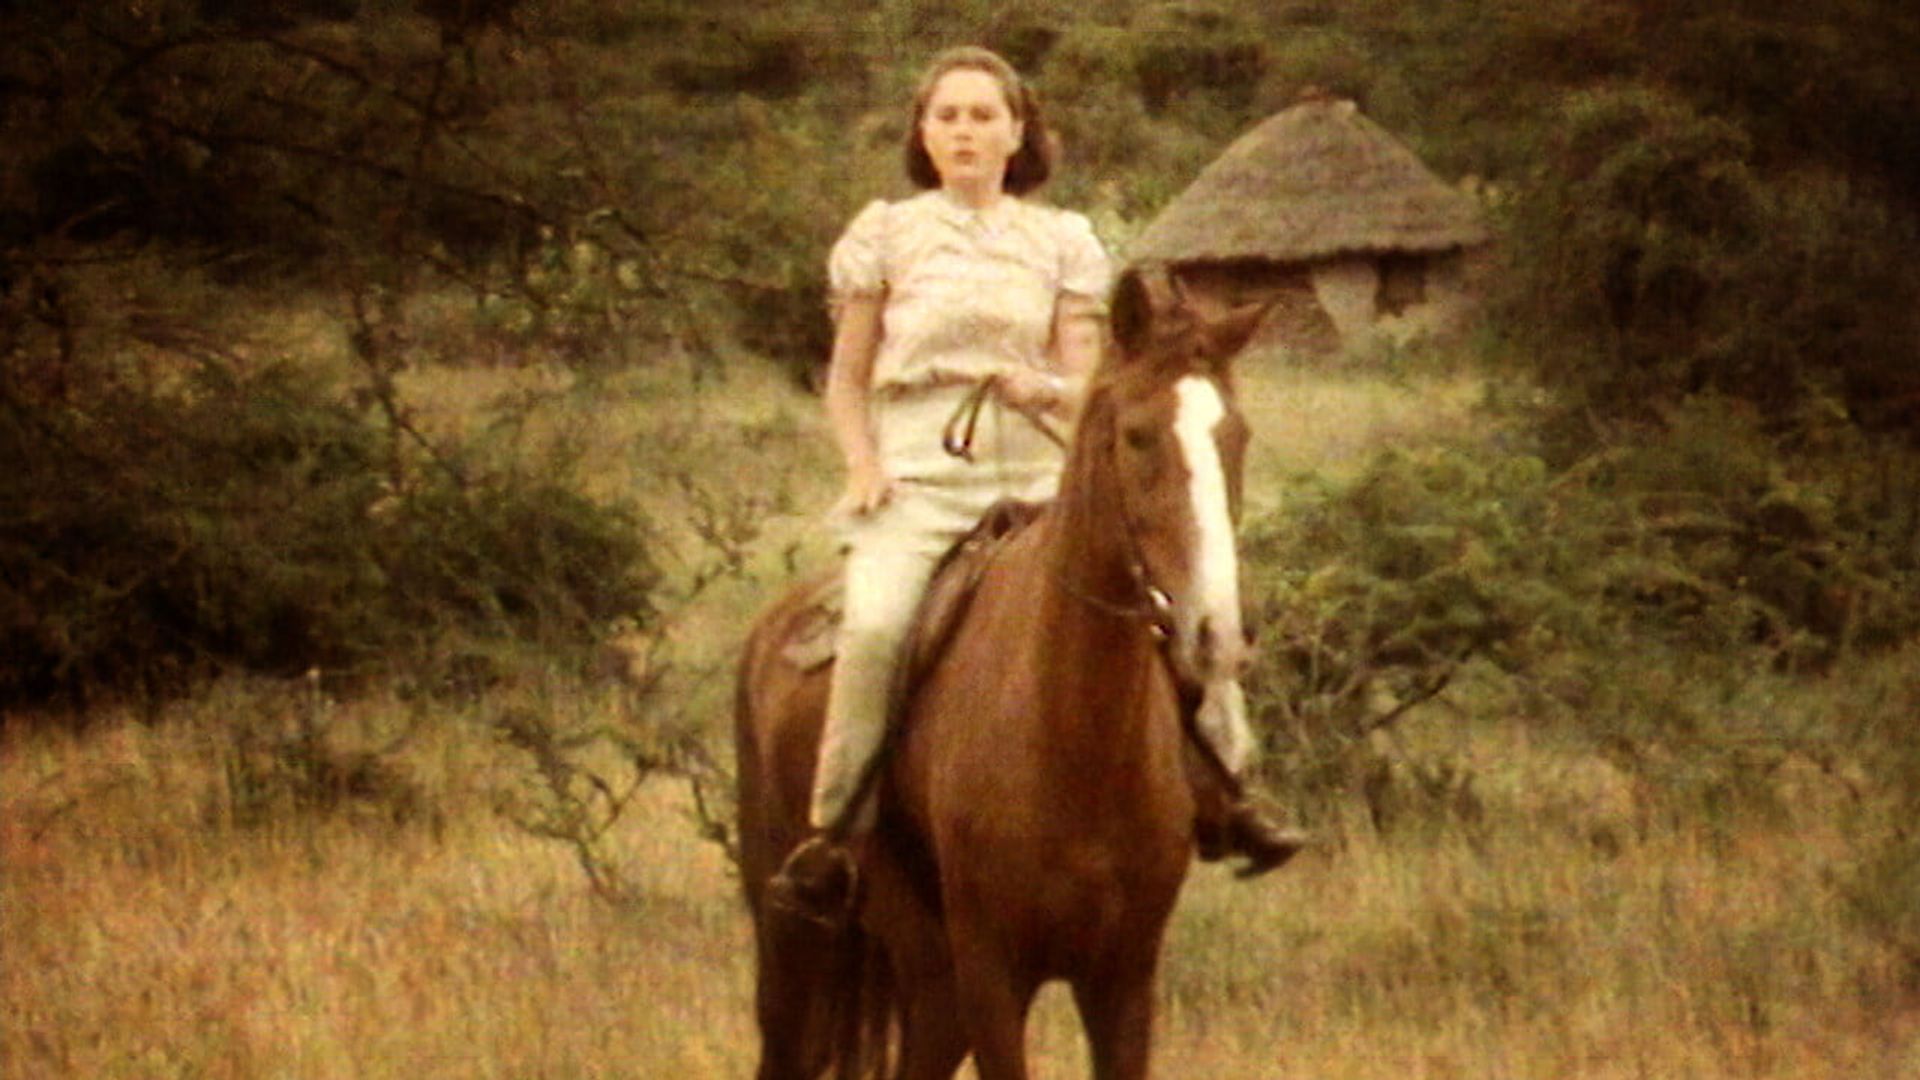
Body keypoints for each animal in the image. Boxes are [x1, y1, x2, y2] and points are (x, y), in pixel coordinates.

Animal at [729, 267, 1259, 1076]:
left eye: (1237, 436)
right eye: (1137, 437)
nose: (1215, 633)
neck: (1074, 738)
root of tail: (770, 629)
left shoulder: (1124, 978)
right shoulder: (994, 976)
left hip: (927, 978)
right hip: (796, 948)